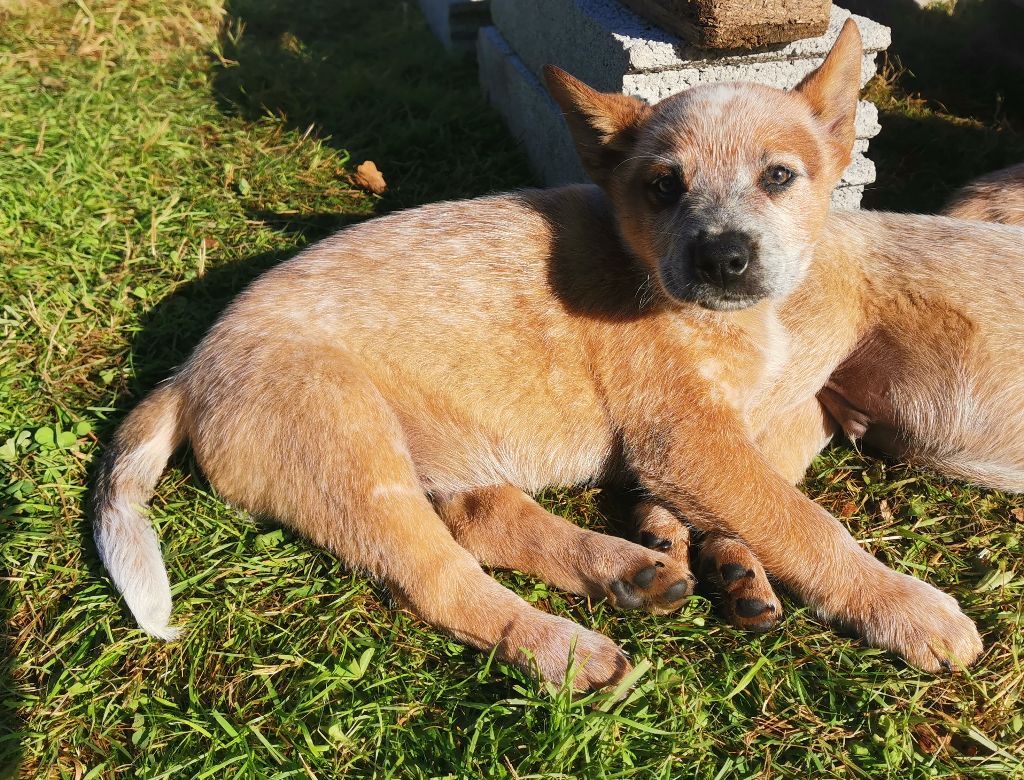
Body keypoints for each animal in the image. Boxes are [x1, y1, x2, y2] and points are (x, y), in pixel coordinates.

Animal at [94, 19, 1015, 687]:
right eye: (663, 186)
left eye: (779, 176)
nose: (721, 258)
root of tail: (189, 371)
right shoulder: (688, 439)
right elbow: (803, 520)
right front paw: (908, 609)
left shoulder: (748, 420)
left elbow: (768, 485)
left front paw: (701, 547)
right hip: (354, 456)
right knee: (440, 577)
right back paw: (567, 649)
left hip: (444, 450)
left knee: (481, 519)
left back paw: (628, 569)